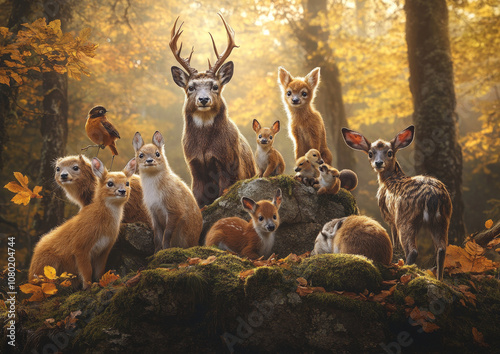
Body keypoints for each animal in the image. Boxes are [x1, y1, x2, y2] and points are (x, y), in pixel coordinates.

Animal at [170, 14, 256, 207]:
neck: (204, 148)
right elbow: (197, 200)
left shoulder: (227, 163)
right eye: (191, 87)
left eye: (215, 86)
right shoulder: (193, 166)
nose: (203, 99)